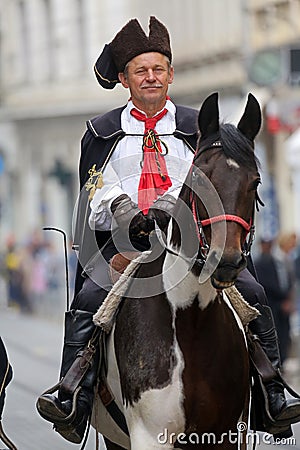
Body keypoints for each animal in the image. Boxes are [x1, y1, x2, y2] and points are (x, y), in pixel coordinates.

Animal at [92, 92, 262, 450]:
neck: (192, 319)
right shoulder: (149, 435)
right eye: (199, 178)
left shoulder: (225, 434)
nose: (226, 261)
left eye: (255, 182)